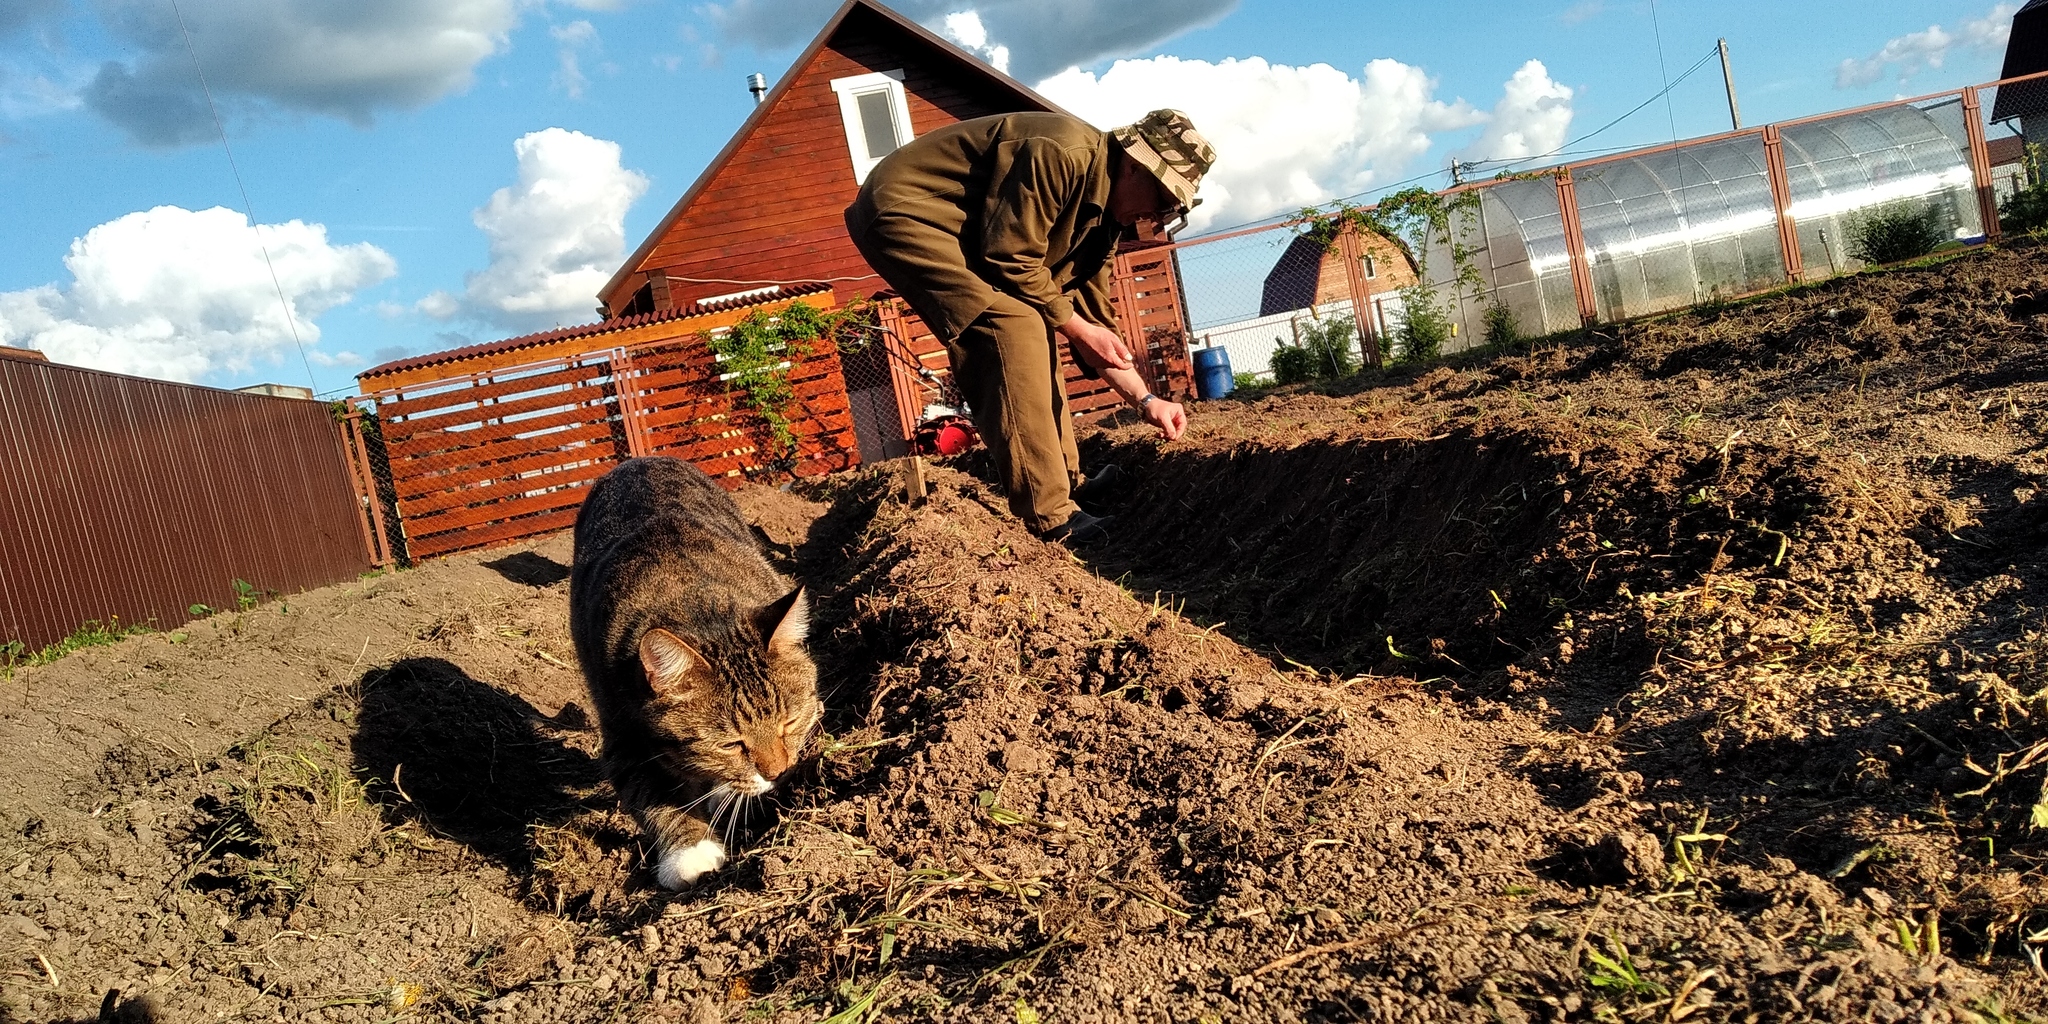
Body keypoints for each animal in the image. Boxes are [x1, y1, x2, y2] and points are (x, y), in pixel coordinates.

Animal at [569, 458, 823, 888]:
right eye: (731, 744)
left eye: (789, 722)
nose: (779, 772)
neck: (693, 604)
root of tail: (640, 459)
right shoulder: (621, 734)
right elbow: (651, 794)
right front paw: (691, 853)